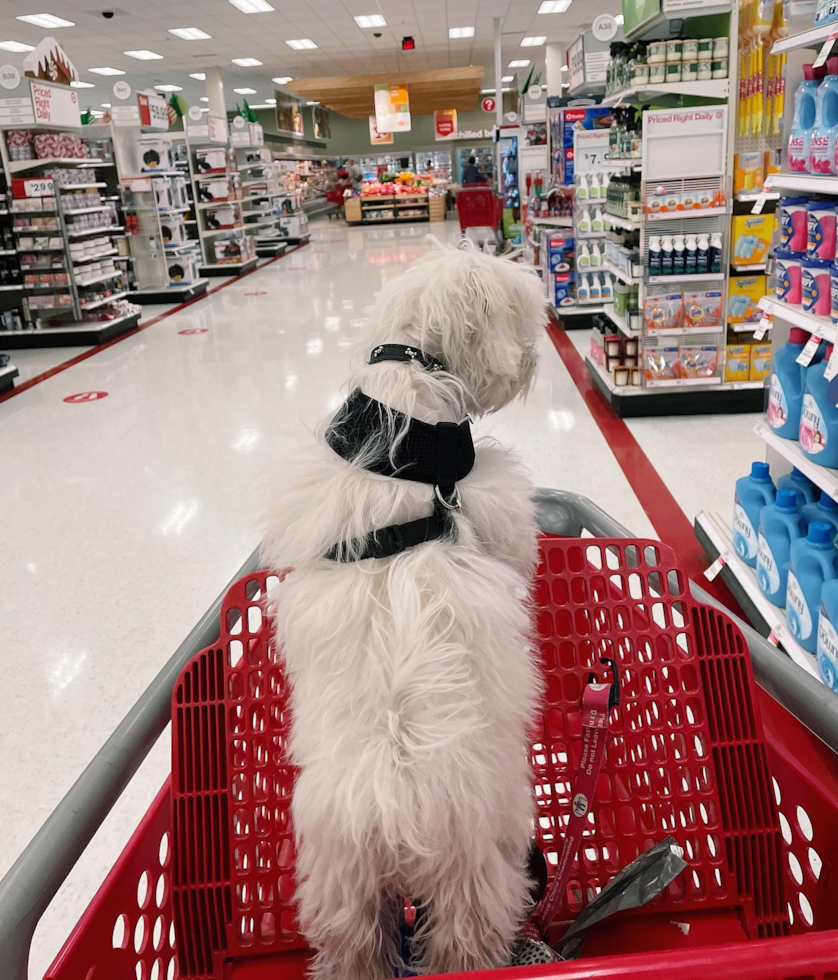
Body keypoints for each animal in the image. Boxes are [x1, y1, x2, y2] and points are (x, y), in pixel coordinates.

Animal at [266, 239, 548, 980]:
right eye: (529, 317)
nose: (537, 361)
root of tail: (392, 807)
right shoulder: (492, 500)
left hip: (342, 888)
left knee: (354, 947)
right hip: (477, 871)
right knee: (466, 941)